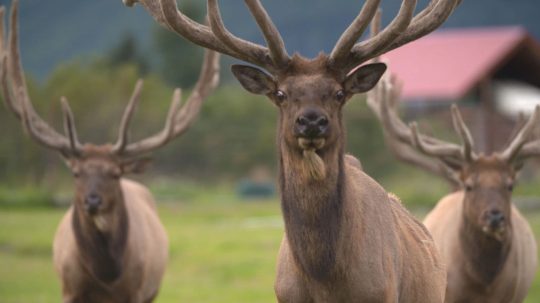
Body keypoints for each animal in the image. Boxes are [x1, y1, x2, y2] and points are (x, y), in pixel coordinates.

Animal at [0, 1, 219, 302]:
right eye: (75, 173)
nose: (92, 200)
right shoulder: (69, 290)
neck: (105, 275)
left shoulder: (137, 291)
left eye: (115, 173)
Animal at [372, 70, 540, 302]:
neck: (483, 284)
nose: (495, 217)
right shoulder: (450, 293)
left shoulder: (510, 295)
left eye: (510, 185)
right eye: (469, 185)